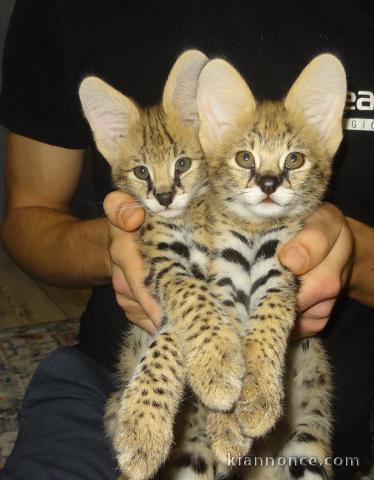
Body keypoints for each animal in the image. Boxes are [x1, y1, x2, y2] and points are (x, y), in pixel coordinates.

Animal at [196, 54, 344, 478]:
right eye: (245, 157)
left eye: (294, 159)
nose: (267, 183)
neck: (254, 232)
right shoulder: (222, 279)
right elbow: (224, 340)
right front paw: (225, 422)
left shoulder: (282, 277)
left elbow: (266, 328)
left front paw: (259, 401)